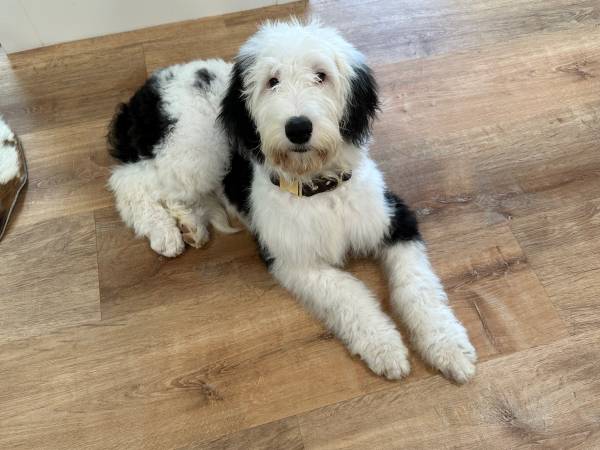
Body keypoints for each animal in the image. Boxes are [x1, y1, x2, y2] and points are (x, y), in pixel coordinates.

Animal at [105, 19, 476, 382]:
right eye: (272, 81)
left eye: (321, 75)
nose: (298, 128)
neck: (319, 188)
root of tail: (151, 87)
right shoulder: (292, 259)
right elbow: (348, 292)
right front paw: (384, 346)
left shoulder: (395, 219)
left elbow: (417, 287)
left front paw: (448, 346)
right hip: (197, 152)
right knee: (131, 181)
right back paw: (165, 232)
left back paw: (190, 224)